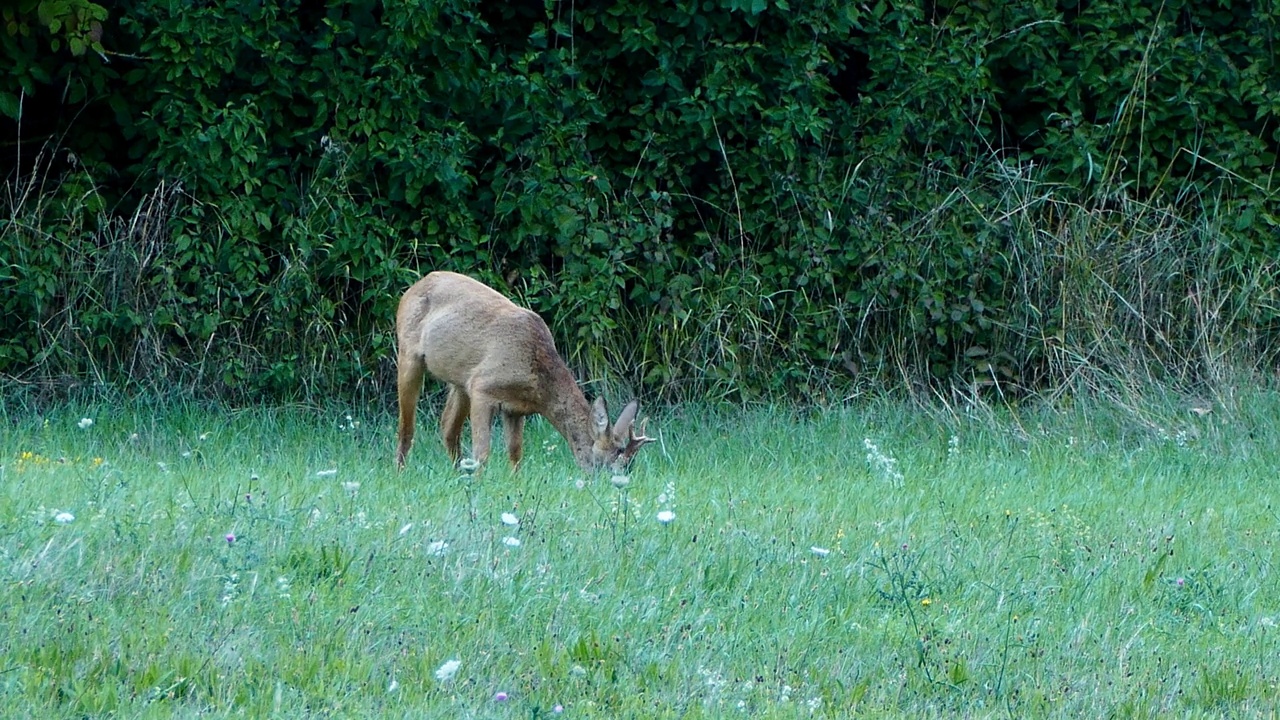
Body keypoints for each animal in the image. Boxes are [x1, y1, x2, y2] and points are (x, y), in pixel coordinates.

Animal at [391, 269, 655, 471]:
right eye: (610, 463)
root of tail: (414, 286)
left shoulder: (515, 409)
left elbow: (515, 452)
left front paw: (514, 483)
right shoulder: (482, 388)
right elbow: (482, 451)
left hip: (459, 380)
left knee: (447, 428)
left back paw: (458, 474)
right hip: (409, 355)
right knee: (407, 427)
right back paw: (401, 473)